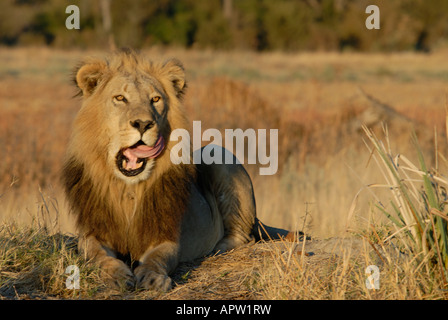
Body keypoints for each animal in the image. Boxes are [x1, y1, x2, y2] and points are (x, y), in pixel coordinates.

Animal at [63, 48, 294, 292]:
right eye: (120, 98)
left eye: (155, 99)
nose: (143, 124)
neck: (129, 190)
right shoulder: (94, 232)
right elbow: (97, 255)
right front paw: (115, 276)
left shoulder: (167, 235)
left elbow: (158, 257)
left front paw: (153, 278)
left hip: (218, 154)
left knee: (244, 236)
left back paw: (214, 249)